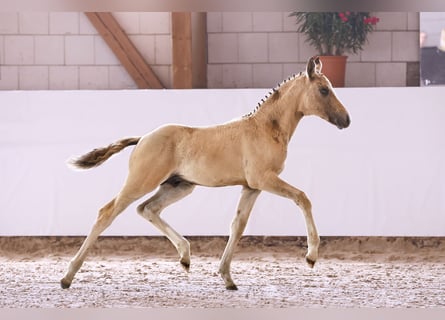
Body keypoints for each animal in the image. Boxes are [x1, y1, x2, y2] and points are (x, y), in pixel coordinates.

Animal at [59, 57, 350, 290]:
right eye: (324, 90)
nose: (346, 120)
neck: (265, 128)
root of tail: (142, 138)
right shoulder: (263, 179)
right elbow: (303, 198)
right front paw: (311, 256)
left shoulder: (251, 187)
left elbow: (238, 225)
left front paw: (227, 277)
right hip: (141, 182)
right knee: (107, 213)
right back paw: (67, 277)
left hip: (179, 186)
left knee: (147, 209)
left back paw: (185, 256)